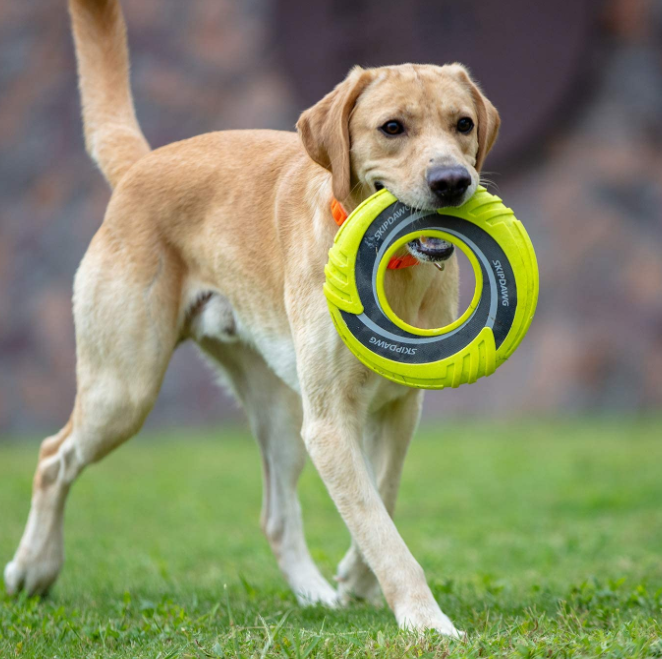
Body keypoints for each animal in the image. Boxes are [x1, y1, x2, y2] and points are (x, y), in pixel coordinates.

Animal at [6, 0, 498, 640]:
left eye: (462, 124)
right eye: (393, 128)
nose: (453, 181)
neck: (392, 273)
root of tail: (143, 164)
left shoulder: (396, 407)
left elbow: (382, 497)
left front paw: (357, 579)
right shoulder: (330, 424)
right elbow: (380, 527)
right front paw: (425, 619)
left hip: (281, 412)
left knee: (276, 517)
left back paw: (315, 595)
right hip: (125, 390)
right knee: (52, 457)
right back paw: (33, 568)